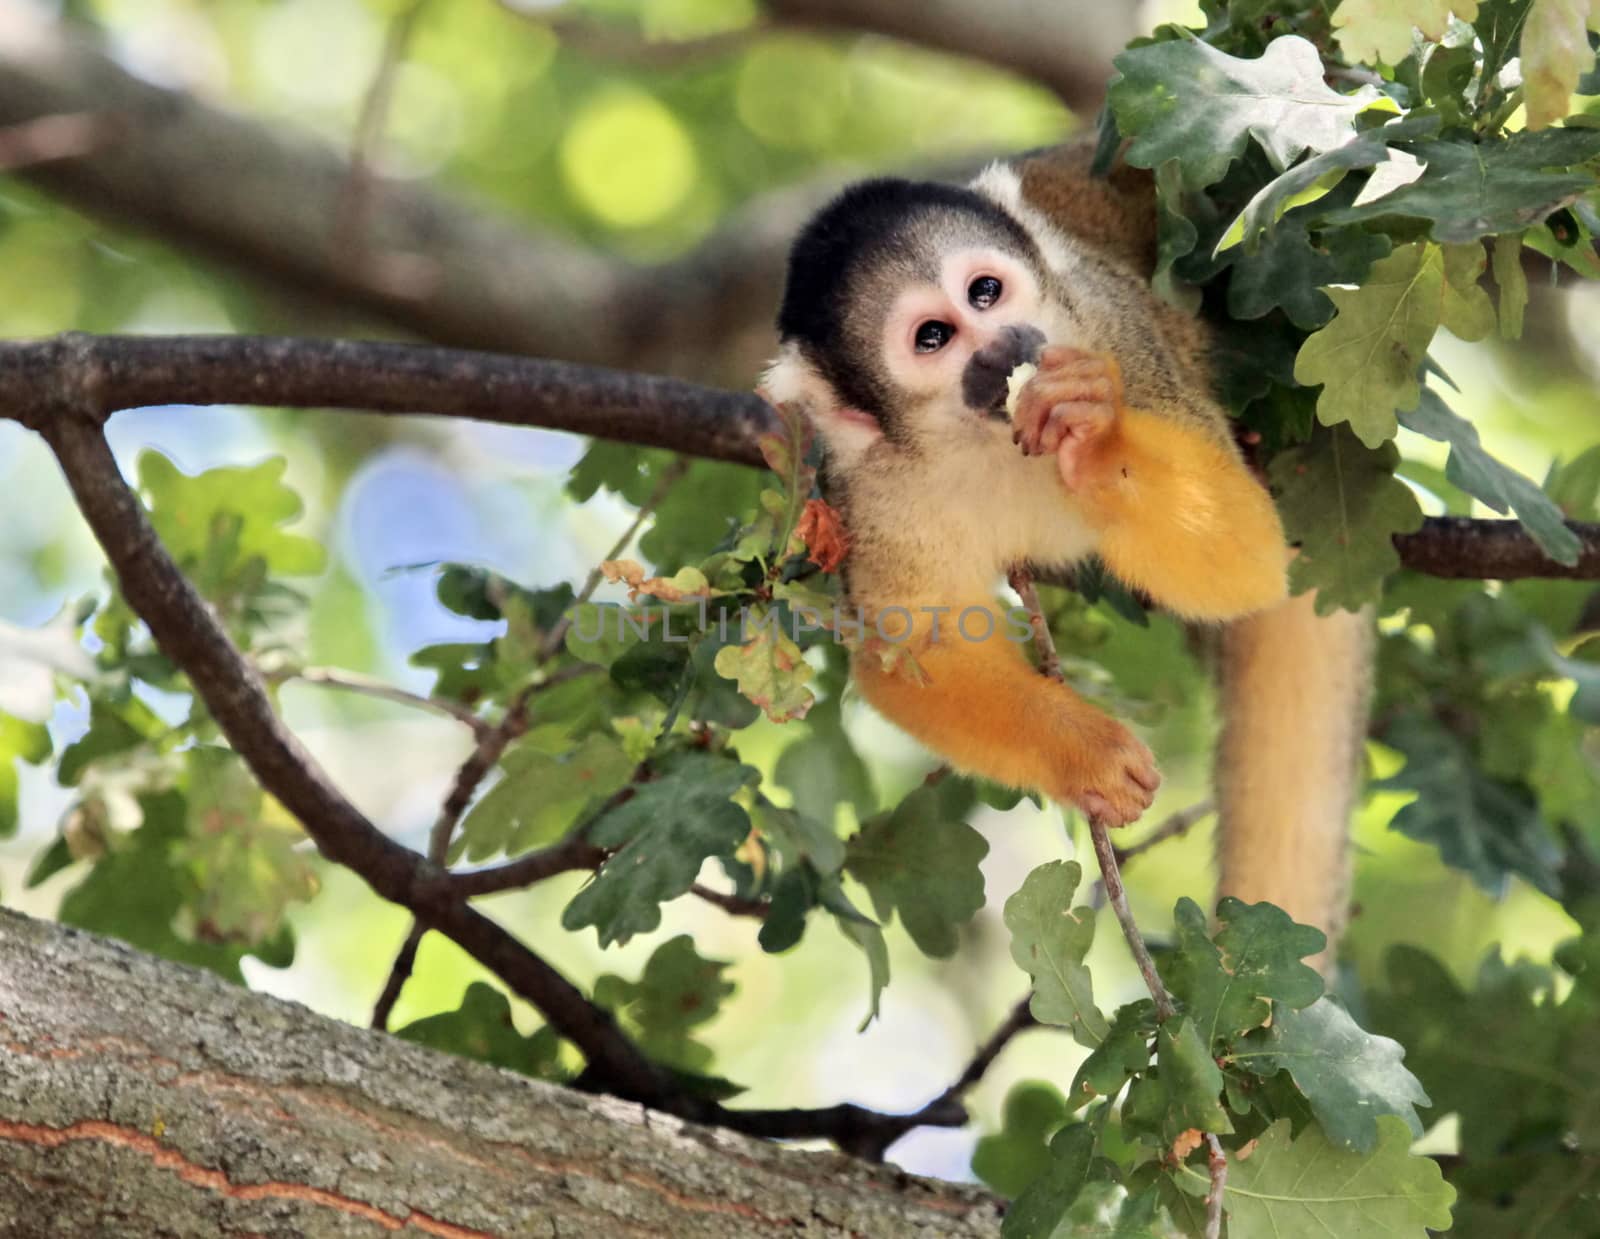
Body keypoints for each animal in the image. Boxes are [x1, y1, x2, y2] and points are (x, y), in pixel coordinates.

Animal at [764, 145, 1376, 954]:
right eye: (934, 338)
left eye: (985, 292)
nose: (1005, 344)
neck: (991, 437)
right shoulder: (870, 489)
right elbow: (916, 652)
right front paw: (1082, 749)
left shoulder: (1109, 329)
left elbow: (1246, 558)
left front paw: (1099, 435)